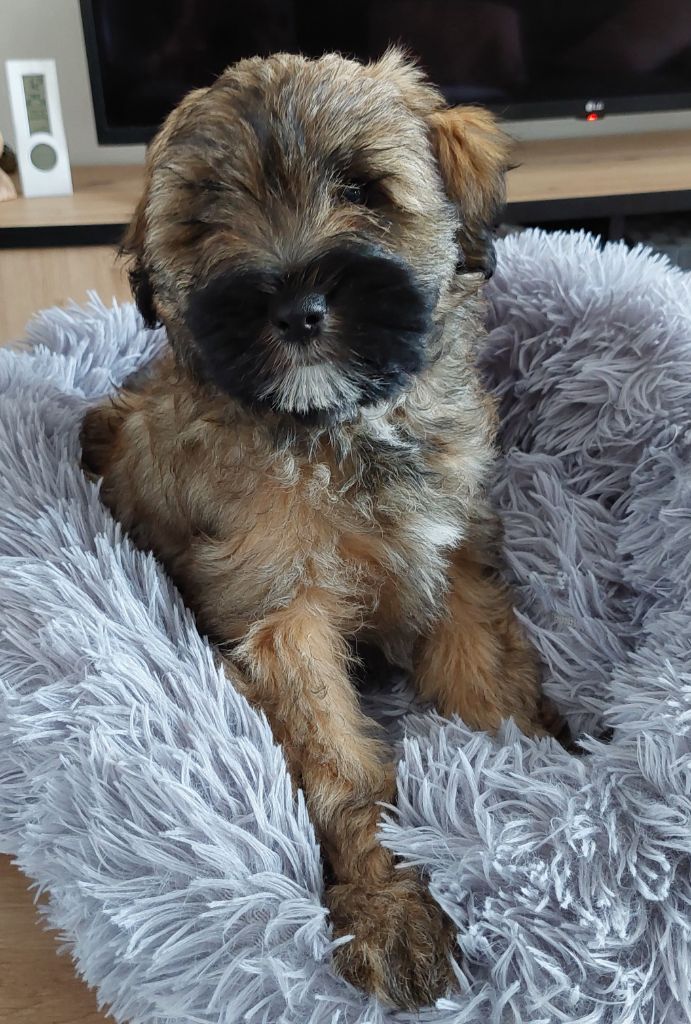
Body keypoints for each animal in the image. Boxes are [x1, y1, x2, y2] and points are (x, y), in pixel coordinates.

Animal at [80, 49, 544, 1009]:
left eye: (363, 189)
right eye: (206, 216)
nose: (296, 309)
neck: (338, 431)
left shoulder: (454, 556)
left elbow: (481, 680)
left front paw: (514, 790)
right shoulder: (278, 614)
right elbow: (338, 761)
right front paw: (388, 906)